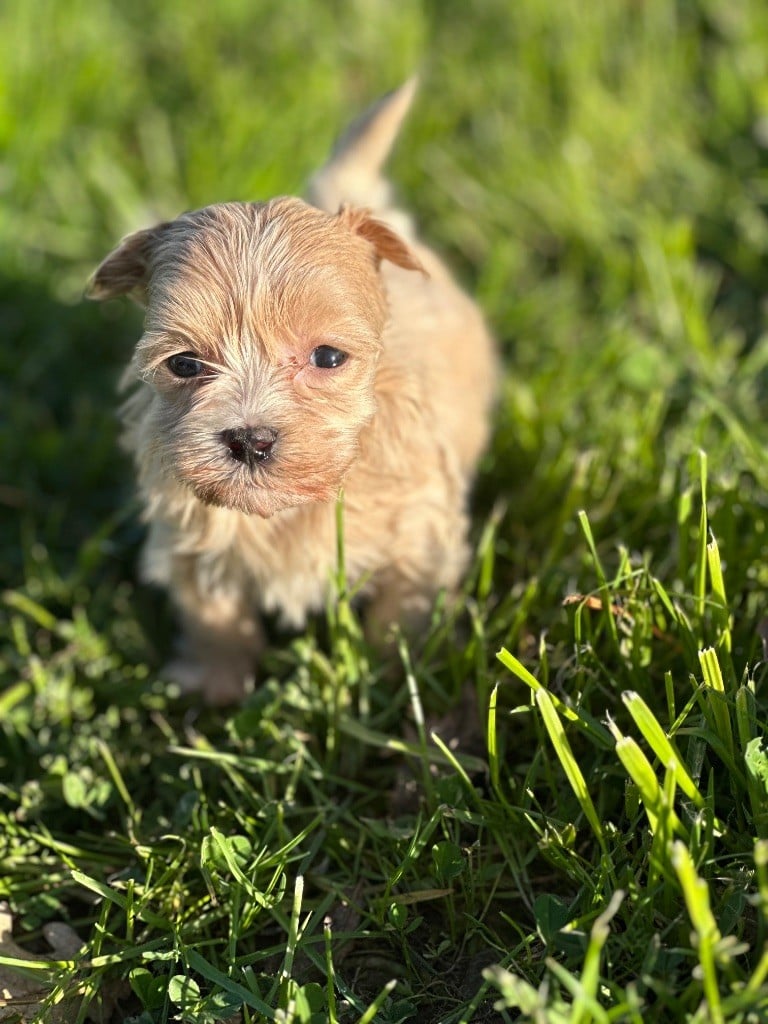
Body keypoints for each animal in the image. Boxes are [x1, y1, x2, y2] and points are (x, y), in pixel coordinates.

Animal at [88, 81, 499, 704]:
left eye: (327, 357)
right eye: (184, 363)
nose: (250, 440)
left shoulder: (419, 536)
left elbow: (400, 616)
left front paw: (394, 683)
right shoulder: (191, 537)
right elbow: (214, 616)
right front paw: (217, 686)